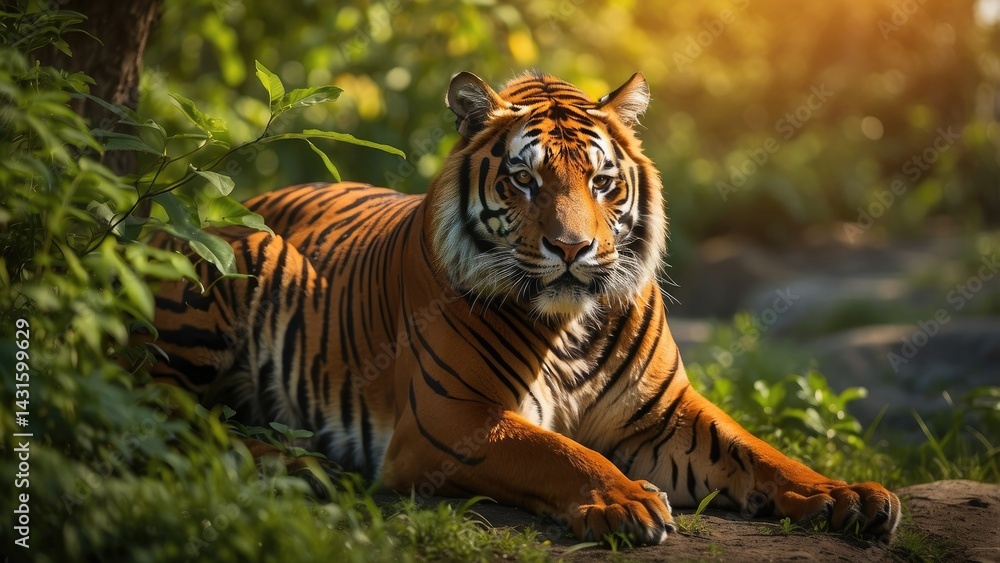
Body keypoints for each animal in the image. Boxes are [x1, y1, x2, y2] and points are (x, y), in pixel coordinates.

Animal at [144, 71, 901, 545]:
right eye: (524, 180)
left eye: (601, 181)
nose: (572, 247)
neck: (573, 326)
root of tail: (239, 201)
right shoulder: (452, 420)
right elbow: (558, 452)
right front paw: (624, 498)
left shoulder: (663, 414)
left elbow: (760, 451)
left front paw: (847, 494)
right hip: (221, 268)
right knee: (161, 411)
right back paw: (295, 464)